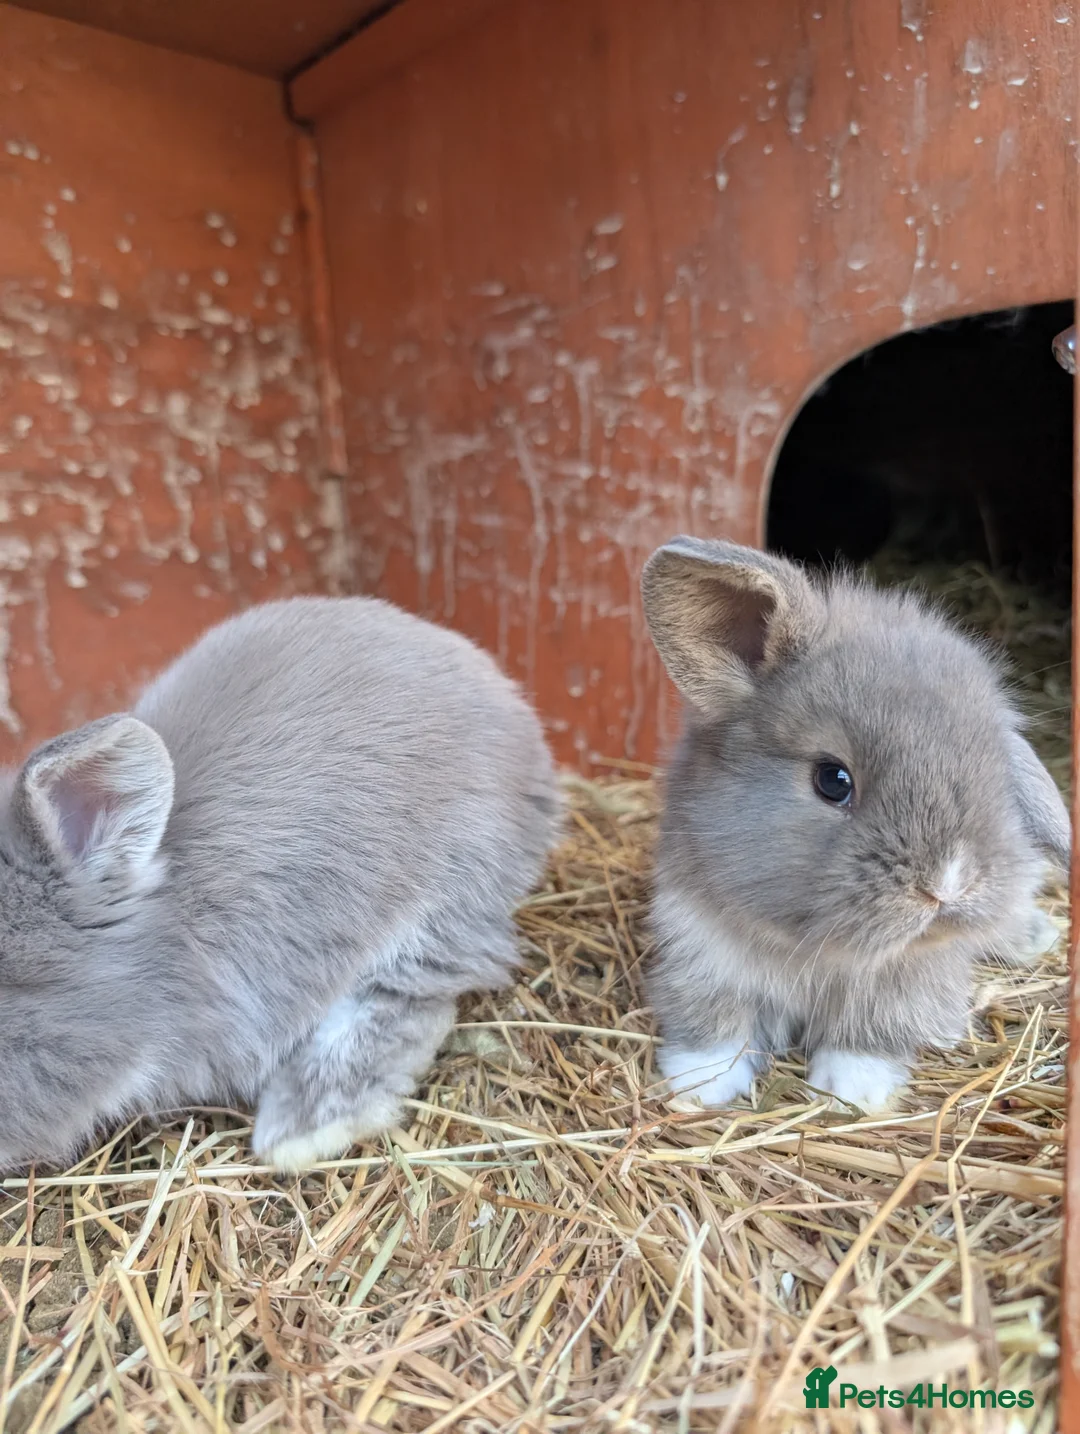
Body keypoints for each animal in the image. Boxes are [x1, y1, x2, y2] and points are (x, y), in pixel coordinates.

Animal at [640, 536, 1070, 1113]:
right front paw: (701, 1085)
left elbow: (868, 1034)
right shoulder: (698, 948)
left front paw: (852, 1090)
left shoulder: (903, 984)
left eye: (995, 769)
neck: (816, 951)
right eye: (833, 780)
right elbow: (714, 1026)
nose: (946, 886)